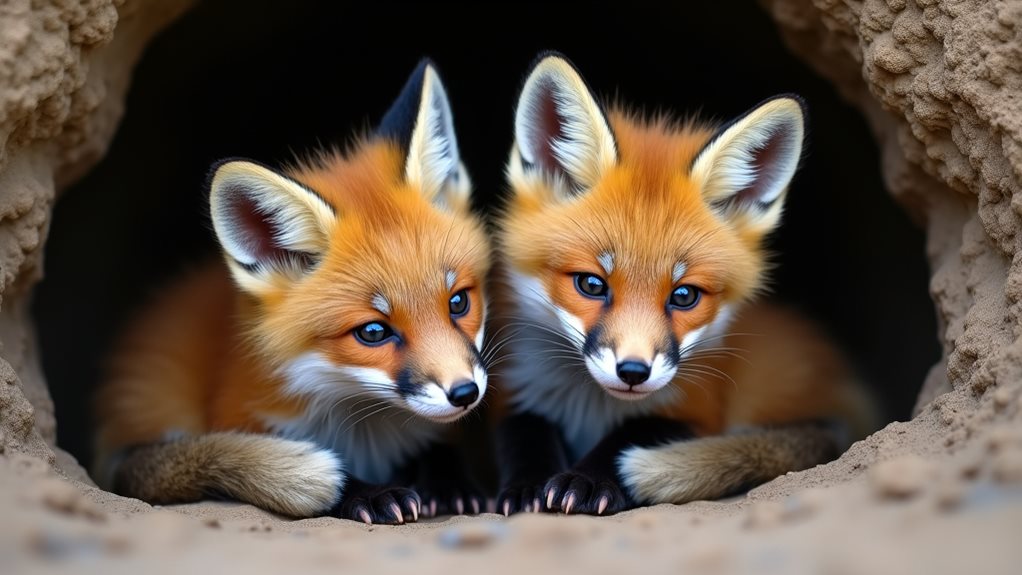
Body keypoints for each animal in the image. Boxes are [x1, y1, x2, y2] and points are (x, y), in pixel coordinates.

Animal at [92, 60, 492, 524]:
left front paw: (453, 485)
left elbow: (441, 450)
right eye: (373, 332)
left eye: (458, 302)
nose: (465, 393)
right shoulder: (240, 415)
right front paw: (372, 494)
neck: (364, 425)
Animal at [490, 53, 879, 516]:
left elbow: (632, 435)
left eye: (684, 295)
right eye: (591, 284)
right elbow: (523, 430)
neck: (593, 408)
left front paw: (588, 480)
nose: (633, 372)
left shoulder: (699, 408)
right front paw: (527, 485)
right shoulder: (514, 392)